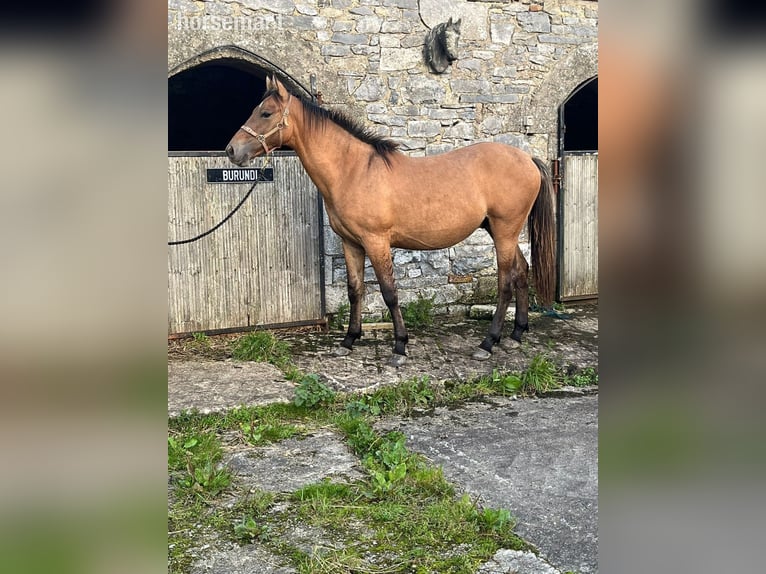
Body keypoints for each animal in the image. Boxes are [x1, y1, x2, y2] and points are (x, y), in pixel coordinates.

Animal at [226, 76, 556, 367]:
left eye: (266, 113)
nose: (231, 150)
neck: (353, 170)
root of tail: (527, 159)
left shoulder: (376, 241)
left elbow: (389, 293)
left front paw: (399, 347)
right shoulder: (351, 243)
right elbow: (355, 290)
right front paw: (349, 340)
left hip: (504, 230)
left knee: (506, 283)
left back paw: (488, 343)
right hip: (501, 230)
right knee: (522, 272)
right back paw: (516, 334)